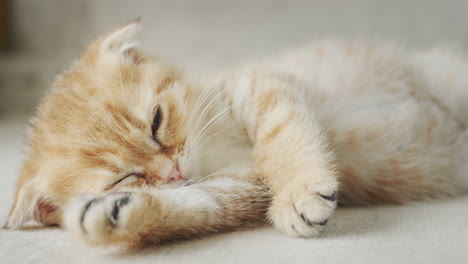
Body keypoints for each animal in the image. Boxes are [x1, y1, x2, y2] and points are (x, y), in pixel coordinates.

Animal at [4, 22, 468, 248]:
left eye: (156, 122)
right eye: (124, 178)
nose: (172, 171)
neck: (213, 146)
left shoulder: (259, 86)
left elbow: (282, 134)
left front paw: (298, 191)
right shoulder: (238, 186)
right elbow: (196, 206)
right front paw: (116, 215)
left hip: (449, 77)